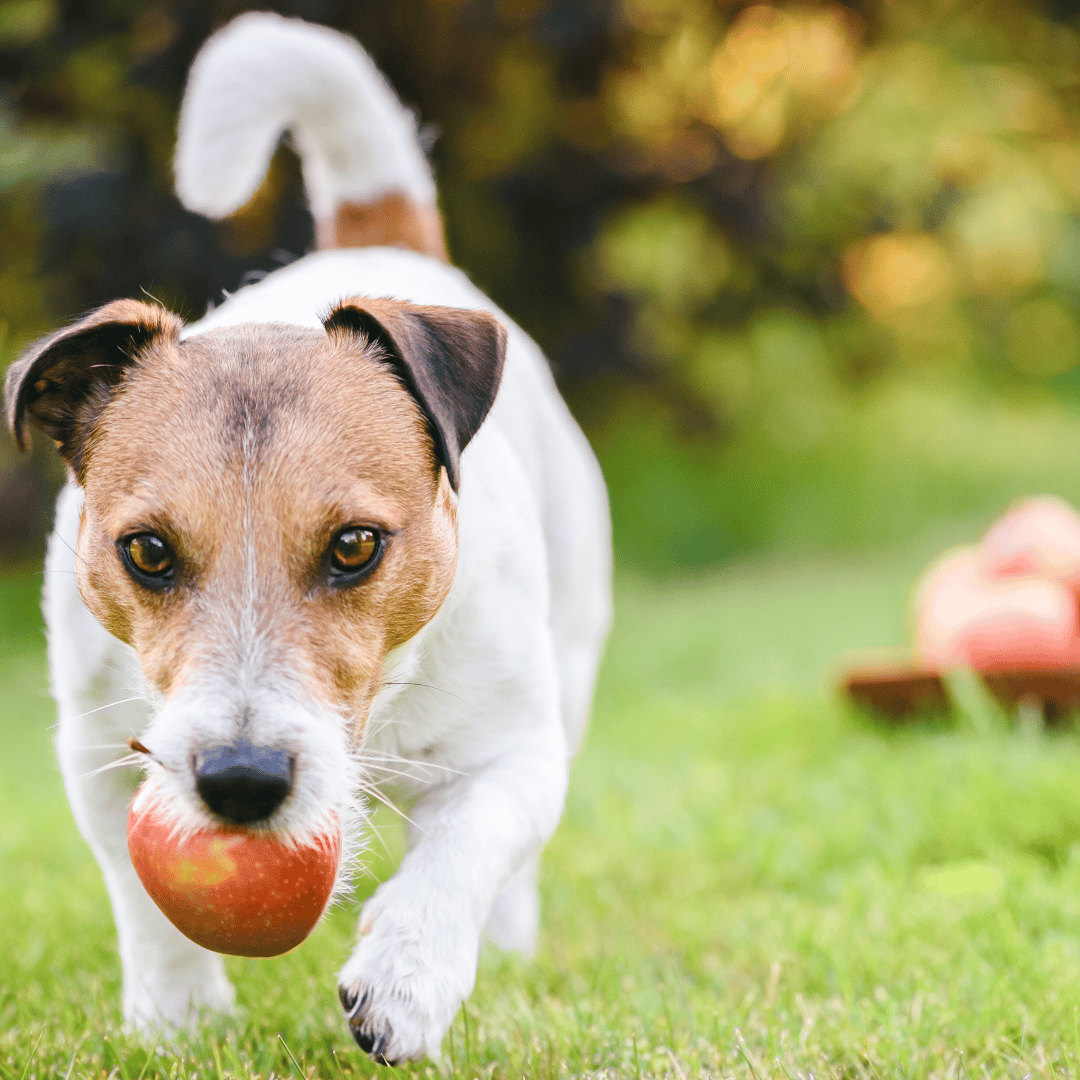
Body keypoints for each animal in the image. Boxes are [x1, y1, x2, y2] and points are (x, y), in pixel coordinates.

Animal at [4, 12, 613, 1062]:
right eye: (147, 552)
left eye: (356, 546)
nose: (241, 781)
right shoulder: (96, 755)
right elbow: (143, 901)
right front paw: (175, 1021)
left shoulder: (515, 750)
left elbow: (469, 841)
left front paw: (409, 976)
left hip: (572, 655)